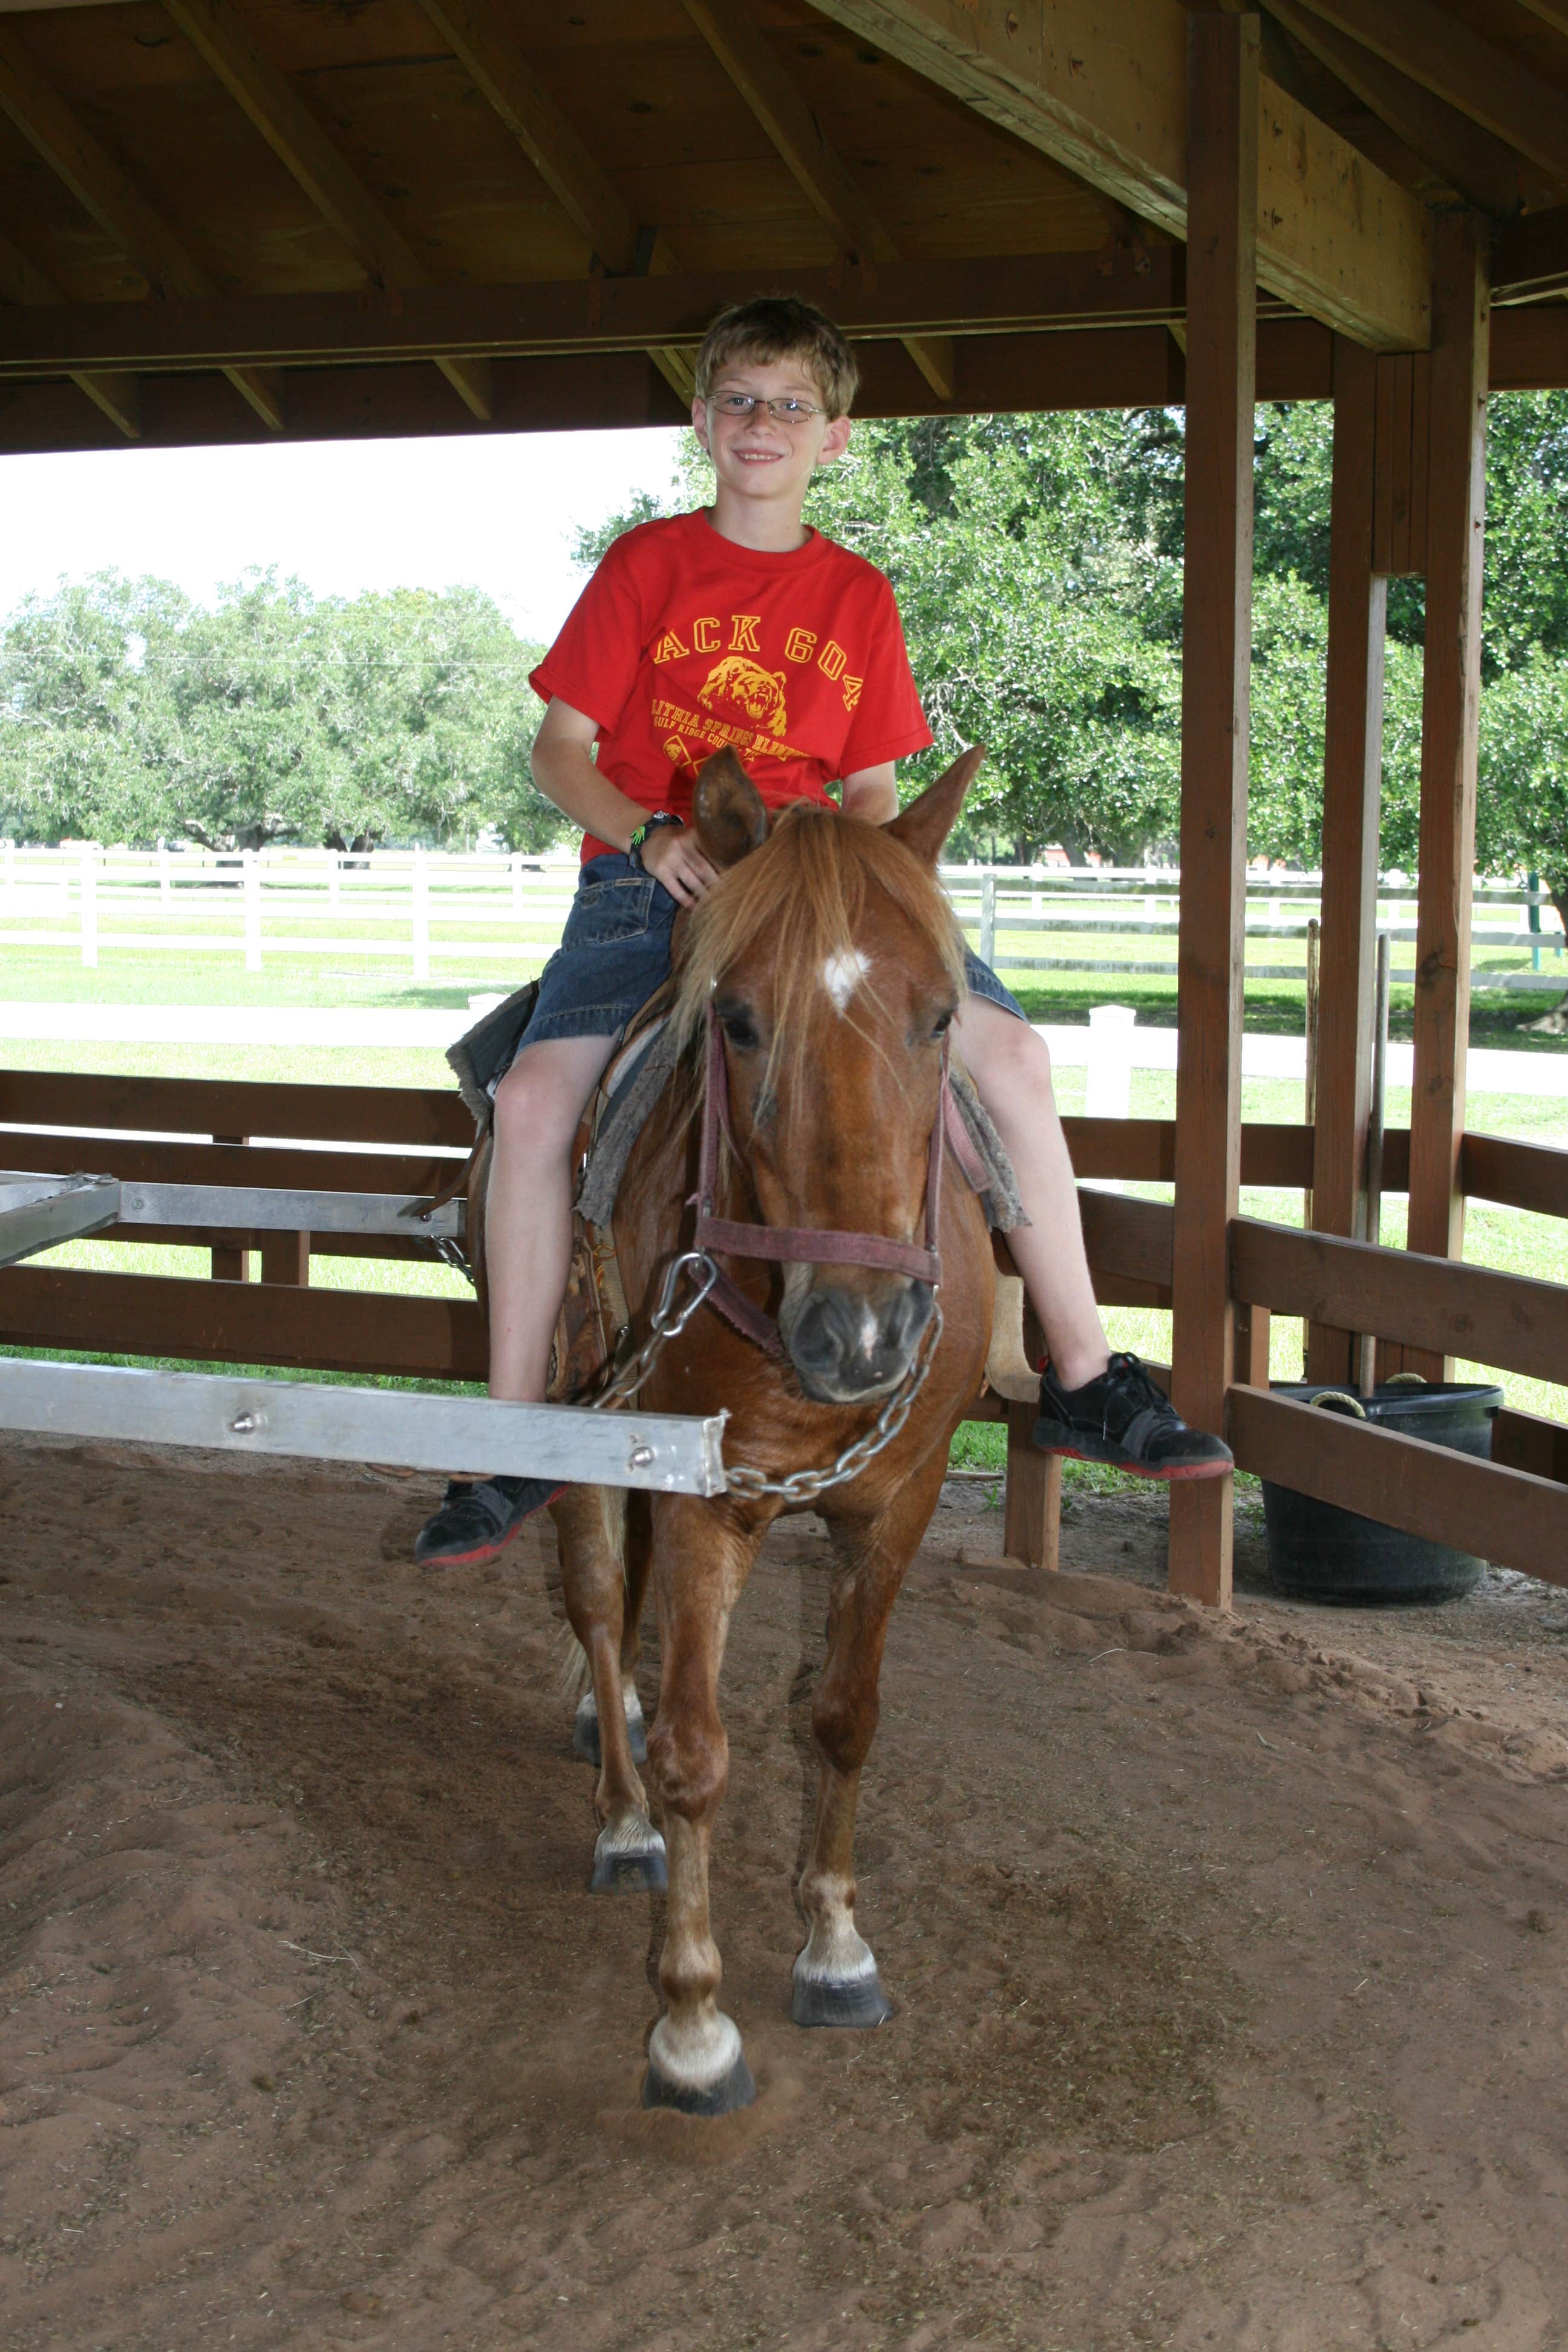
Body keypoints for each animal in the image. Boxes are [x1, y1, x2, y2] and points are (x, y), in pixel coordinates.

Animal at [469, 744, 995, 2117]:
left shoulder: (898, 1503)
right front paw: (694, 2020)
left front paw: (835, 1944)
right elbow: (700, 1753)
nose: (858, 1330)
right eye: (741, 1020)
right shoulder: (705, 1499)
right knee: (601, 1609)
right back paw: (623, 1817)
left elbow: (843, 1716)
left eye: (941, 1017)